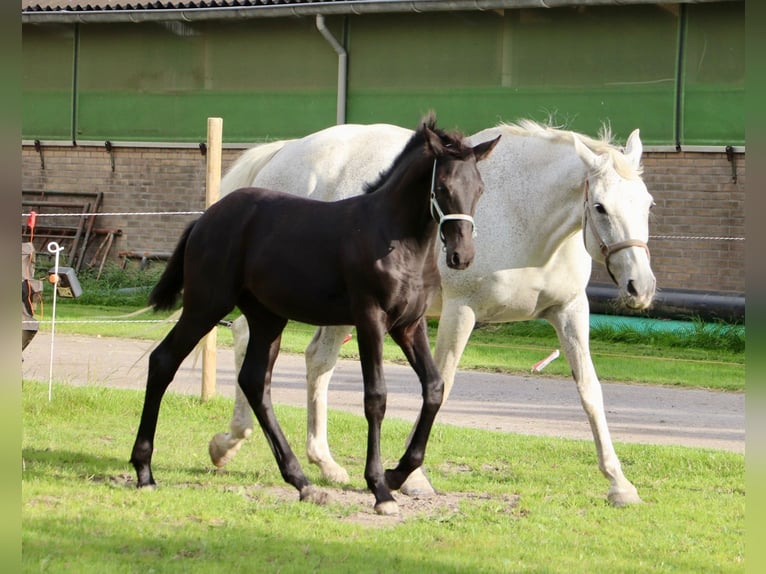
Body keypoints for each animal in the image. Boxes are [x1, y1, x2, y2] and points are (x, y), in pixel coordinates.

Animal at [207, 121, 656, 508]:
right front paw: (410, 479)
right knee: (247, 337)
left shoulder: (569, 311)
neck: (524, 215)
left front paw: (619, 483)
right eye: (600, 207)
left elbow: (590, 392)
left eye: (647, 204)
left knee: (317, 359)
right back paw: (229, 441)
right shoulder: (461, 311)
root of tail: (283, 152)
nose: (641, 287)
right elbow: (443, 383)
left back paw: (323, 463)